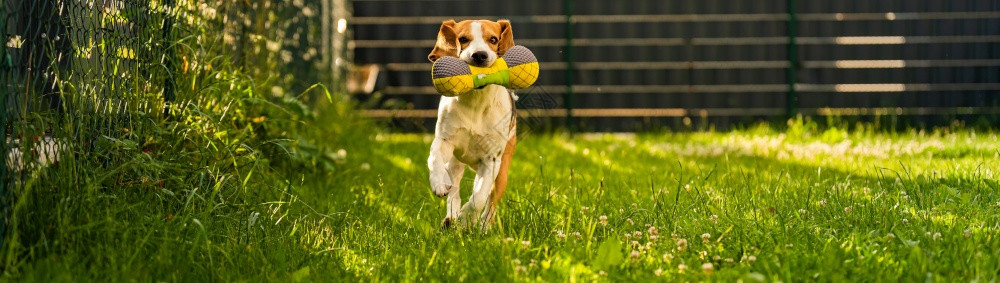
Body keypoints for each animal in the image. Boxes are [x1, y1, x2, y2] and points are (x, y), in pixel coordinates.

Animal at [426, 18, 516, 230]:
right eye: (463, 39)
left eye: (493, 39)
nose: (479, 55)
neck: (475, 101)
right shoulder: (444, 140)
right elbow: (434, 159)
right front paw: (438, 182)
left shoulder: (491, 160)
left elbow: (479, 198)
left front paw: (467, 219)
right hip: (455, 163)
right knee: (454, 190)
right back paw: (450, 217)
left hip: (502, 172)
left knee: (490, 203)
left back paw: (482, 227)